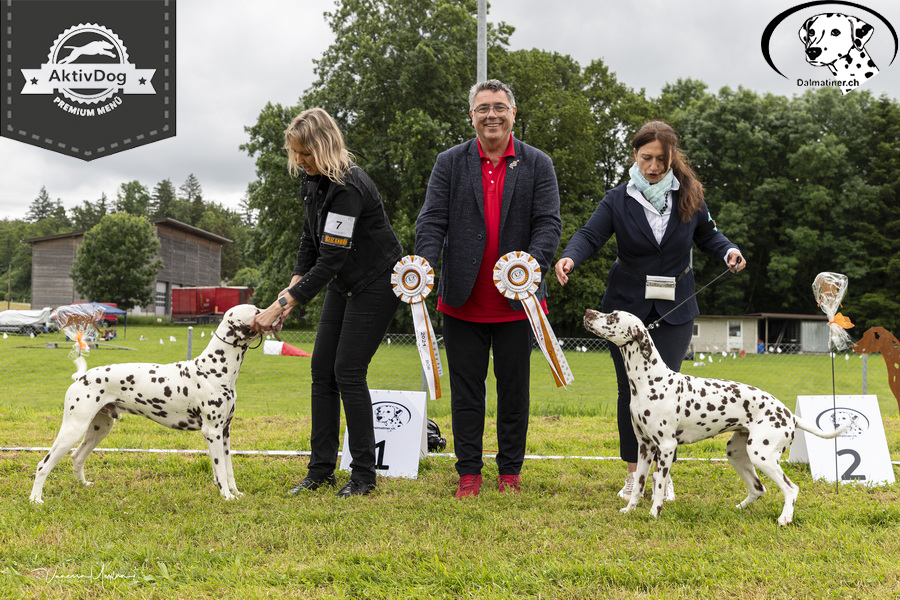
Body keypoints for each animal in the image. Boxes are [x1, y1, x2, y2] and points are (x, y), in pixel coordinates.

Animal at [29, 302, 262, 504]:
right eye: (257, 311)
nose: (268, 311)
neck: (213, 369)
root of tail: (81, 377)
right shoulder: (212, 432)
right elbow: (220, 470)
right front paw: (227, 496)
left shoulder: (225, 432)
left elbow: (228, 470)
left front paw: (234, 492)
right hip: (74, 429)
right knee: (43, 465)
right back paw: (35, 499)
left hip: (99, 429)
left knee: (77, 457)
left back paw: (84, 485)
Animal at [588, 310, 856, 524]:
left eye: (612, 317)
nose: (588, 312)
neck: (651, 380)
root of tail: (789, 414)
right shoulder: (644, 447)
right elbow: (639, 486)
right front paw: (629, 510)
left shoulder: (665, 447)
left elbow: (659, 486)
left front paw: (654, 514)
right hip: (738, 453)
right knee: (759, 489)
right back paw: (739, 508)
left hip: (762, 456)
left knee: (791, 489)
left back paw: (785, 518)